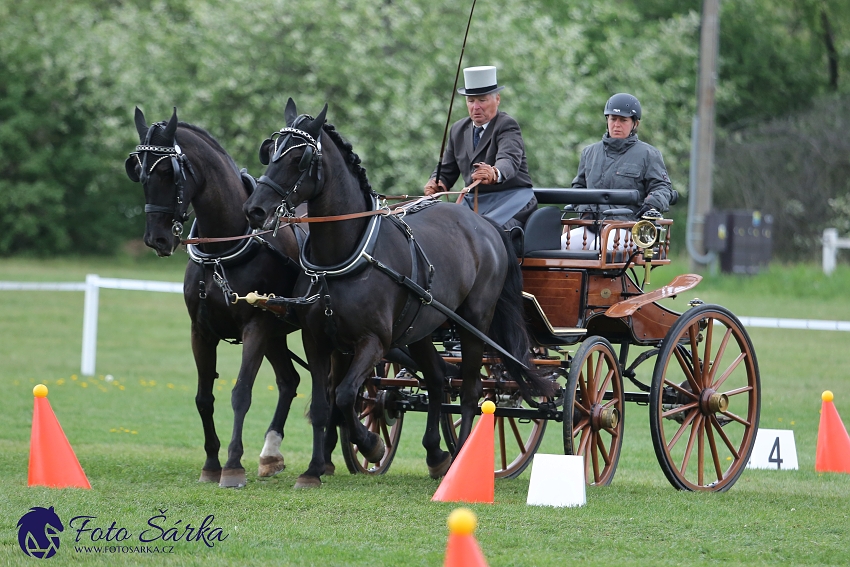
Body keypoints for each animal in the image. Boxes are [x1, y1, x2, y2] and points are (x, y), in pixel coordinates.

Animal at [122, 107, 302, 488]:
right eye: (139, 171)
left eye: (167, 171)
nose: (156, 239)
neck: (223, 249)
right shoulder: (201, 331)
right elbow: (204, 398)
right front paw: (211, 463)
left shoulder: (256, 327)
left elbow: (241, 393)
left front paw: (233, 465)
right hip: (277, 334)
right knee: (289, 381)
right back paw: (271, 454)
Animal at [242, 98, 552, 488]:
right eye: (270, 152)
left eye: (300, 158)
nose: (254, 209)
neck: (346, 257)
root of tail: (486, 225)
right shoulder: (318, 340)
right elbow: (323, 404)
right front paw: (314, 470)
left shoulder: (374, 341)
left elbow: (345, 395)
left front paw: (371, 445)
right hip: (421, 328)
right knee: (437, 380)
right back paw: (436, 455)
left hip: (474, 324)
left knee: (471, 392)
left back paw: (459, 460)